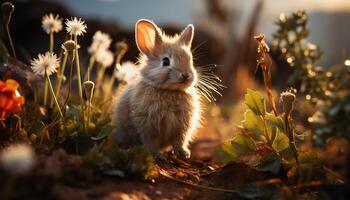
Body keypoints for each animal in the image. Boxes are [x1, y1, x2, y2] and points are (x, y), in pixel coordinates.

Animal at [110, 19, 201, 159]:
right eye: (165, 61)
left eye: (190, 60)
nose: (186, 75)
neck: (170, 91)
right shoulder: (149, 128)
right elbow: (151, 143)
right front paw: (157, 156)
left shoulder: (181, 129)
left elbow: (179, 142)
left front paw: (184, 154)